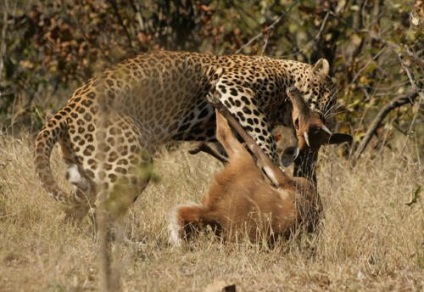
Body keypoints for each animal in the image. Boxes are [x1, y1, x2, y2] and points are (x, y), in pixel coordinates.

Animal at [34, 50, 342, 220]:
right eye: (325, 99)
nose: (324, 124)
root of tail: (66, 110)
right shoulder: (233, 87)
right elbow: (261, 135)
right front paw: (273, 162)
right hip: (128, 162)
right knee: (101, 211)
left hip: (91, 168)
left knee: (78, 209)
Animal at [169, 88, 352, 245]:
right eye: (318, 115)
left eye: (297, 121)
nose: (293, 91)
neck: (307, 179)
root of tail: (213, 213)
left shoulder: (280, 177)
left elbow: (253, 146)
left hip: (242, 163)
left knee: (224, 134)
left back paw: (215, 100)